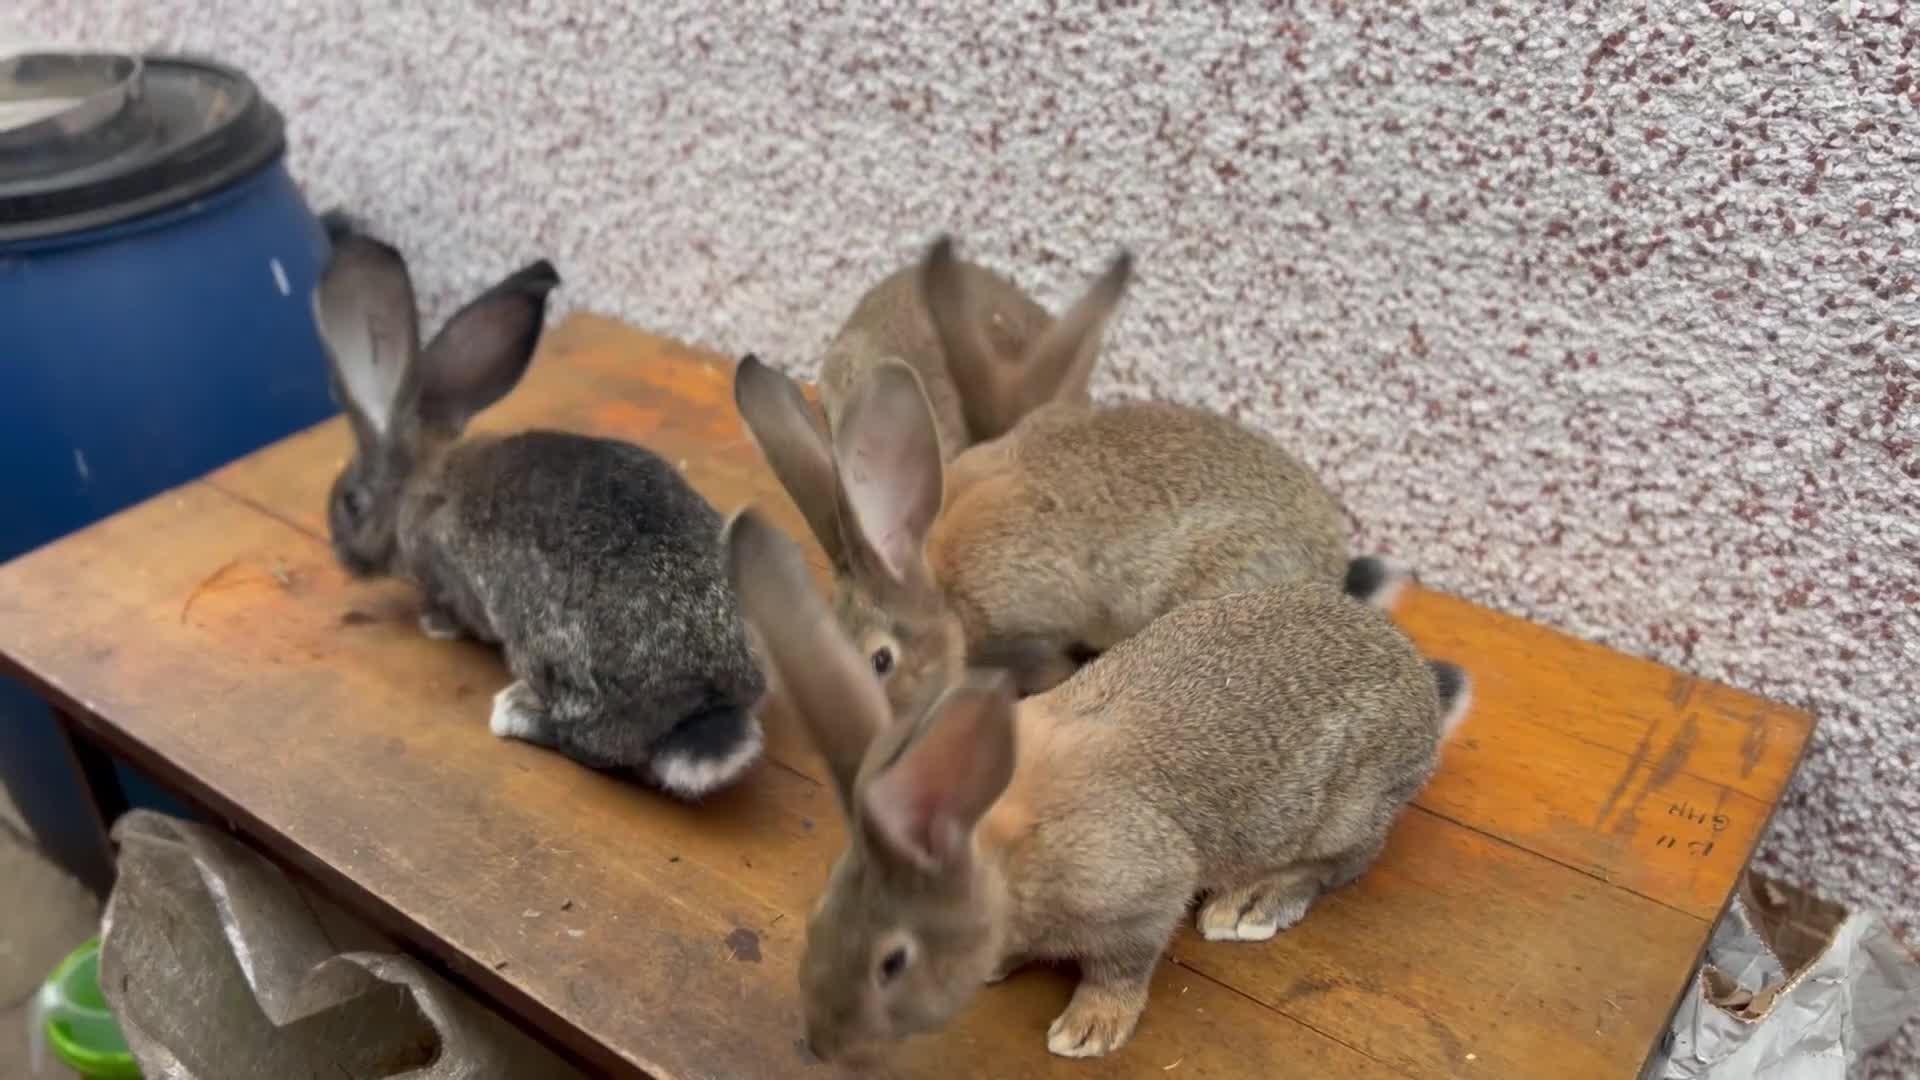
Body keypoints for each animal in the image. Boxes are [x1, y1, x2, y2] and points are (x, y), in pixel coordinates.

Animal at [311, 217, 765, 799]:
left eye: (351, 503)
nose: (340, 554)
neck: (420, 484)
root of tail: (710, 704)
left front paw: (435, 627)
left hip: (554, 660)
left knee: (592, 745)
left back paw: (516, 713)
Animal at [723, 507, 1471, 1061]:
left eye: (892, 963)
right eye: (820, 916)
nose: (820, 1046)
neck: (1006, 854)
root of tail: (1417, 681)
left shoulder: (1141, 895)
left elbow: (1122, 968)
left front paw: (1089, 1029)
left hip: (1348, 807)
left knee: (1341, 863)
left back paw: (1249, 904)